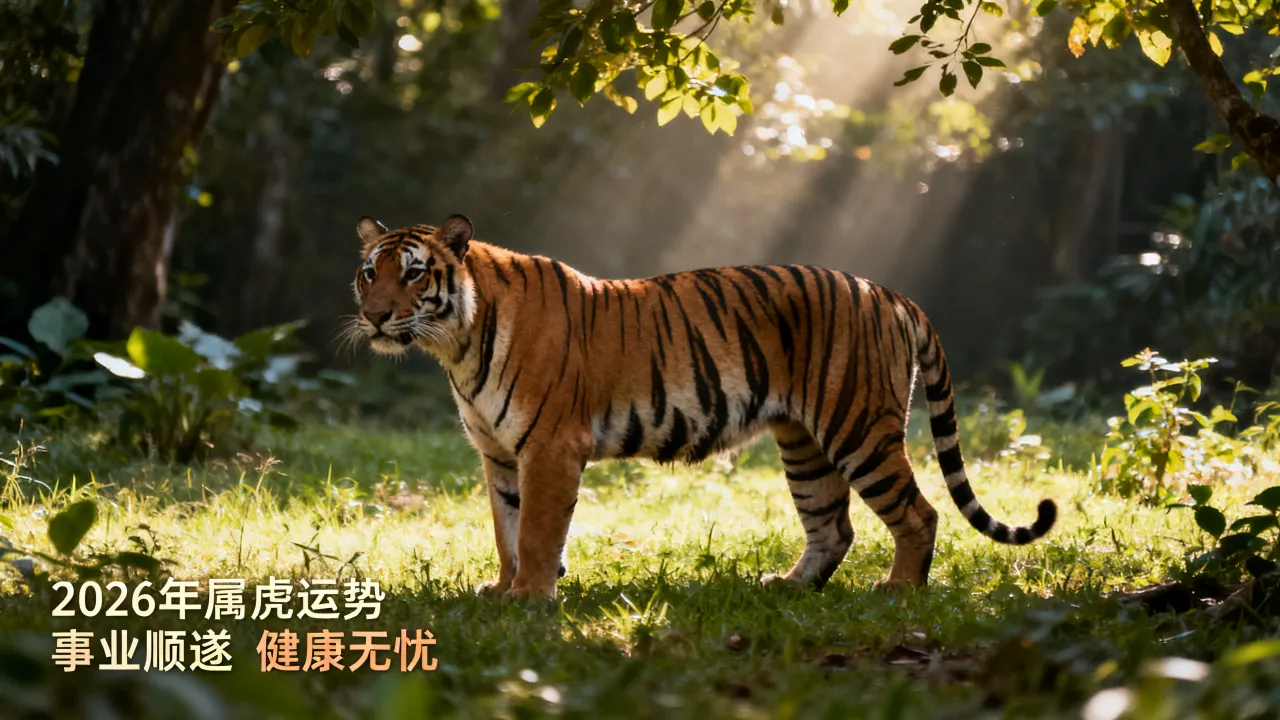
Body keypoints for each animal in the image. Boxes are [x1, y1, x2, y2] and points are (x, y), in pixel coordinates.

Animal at [350, 214, 1057, 600]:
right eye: (368, 272)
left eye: (414, 272)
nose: (375, 316)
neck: (457, 345)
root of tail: (887, 291)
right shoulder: (499, 454)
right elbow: (507, 529)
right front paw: (502, 590)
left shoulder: (549, 448)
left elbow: (540, 529)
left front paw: (529, 599)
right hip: (804, 442)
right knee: (833, 525)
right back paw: (790, 587)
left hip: (858, 428)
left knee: (919, 513)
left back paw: (897, 593)